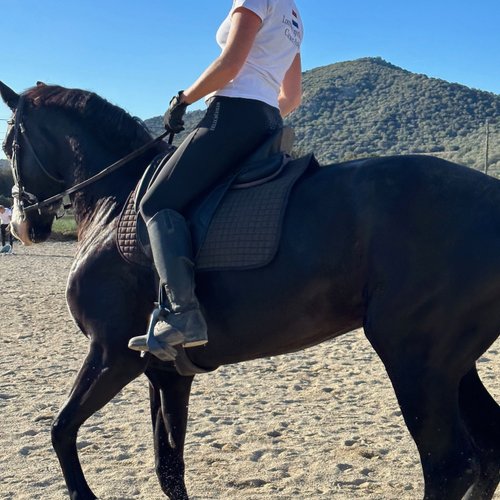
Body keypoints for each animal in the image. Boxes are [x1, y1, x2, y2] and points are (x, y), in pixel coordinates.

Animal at [0, 82, 498, 500]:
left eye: (8, 145)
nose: (22, 226)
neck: (115, 200)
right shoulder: (165, 373)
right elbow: (169, 468)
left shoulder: (112, 354)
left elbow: (61, 429)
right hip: (450, 363)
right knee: (487, 454)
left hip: (416, 360)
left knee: (450, 466)